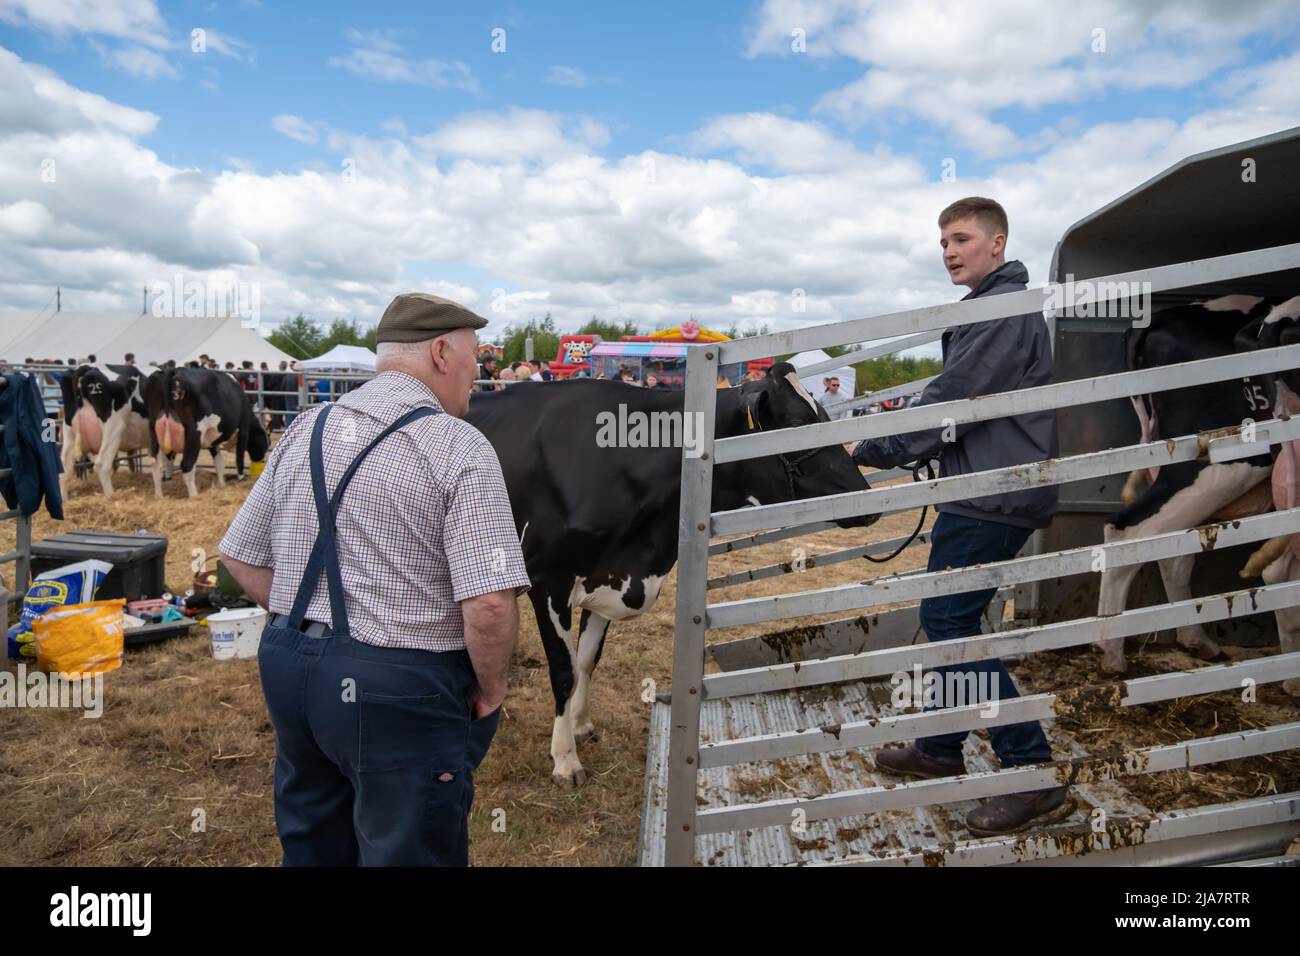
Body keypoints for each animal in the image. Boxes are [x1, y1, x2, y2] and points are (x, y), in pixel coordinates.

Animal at [58, 364, 153, 502]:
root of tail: (86, 367)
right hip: (113, 428)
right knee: (102, 464)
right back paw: (111, 496)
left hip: (69, 432)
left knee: (64, 468)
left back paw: (63, 501)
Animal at [146, 369, 267, 502]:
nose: (261, 459)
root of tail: (172, 371)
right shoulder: (243, 430)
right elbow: (239, 459)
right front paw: (241, 478)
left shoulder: (212, 440)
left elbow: (219, 462)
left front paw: (221, 485)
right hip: (195, 432)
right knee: (187, 465)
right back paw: (194, 496)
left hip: (153, 431)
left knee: (155, 466)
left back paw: (159, 496)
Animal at [467, 361, 873, 790]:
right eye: (796, 422)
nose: (865, 496)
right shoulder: (548, 581)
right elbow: (564, 671)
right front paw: (565, 760)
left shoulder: (607, 576)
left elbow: (586, 662)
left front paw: (581, 726)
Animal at [1092, 295, 1274, 676]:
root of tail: (1161, 319)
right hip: (1222, 462)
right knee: (1131, 530)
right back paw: (1111, 653)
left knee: (1173, 549)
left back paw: (1198, 640)